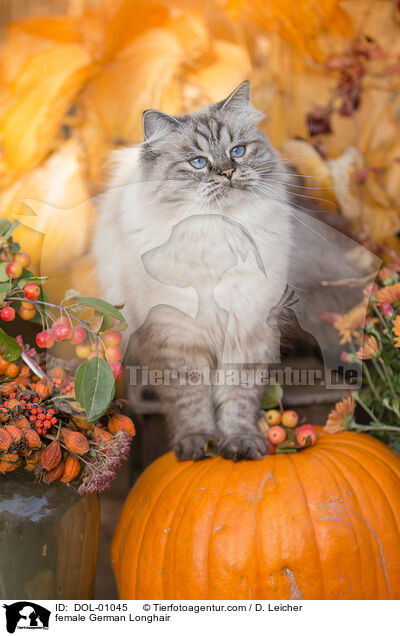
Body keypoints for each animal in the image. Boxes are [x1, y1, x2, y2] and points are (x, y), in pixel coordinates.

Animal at [93, 82, 366, 462]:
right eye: (198, 162)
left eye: (238, 151)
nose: (228, 172)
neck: (217, 232)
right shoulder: (175, 338)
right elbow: (189, 403)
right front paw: (196, 446)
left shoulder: (248, 331)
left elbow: (237, 400)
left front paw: (240, 445)